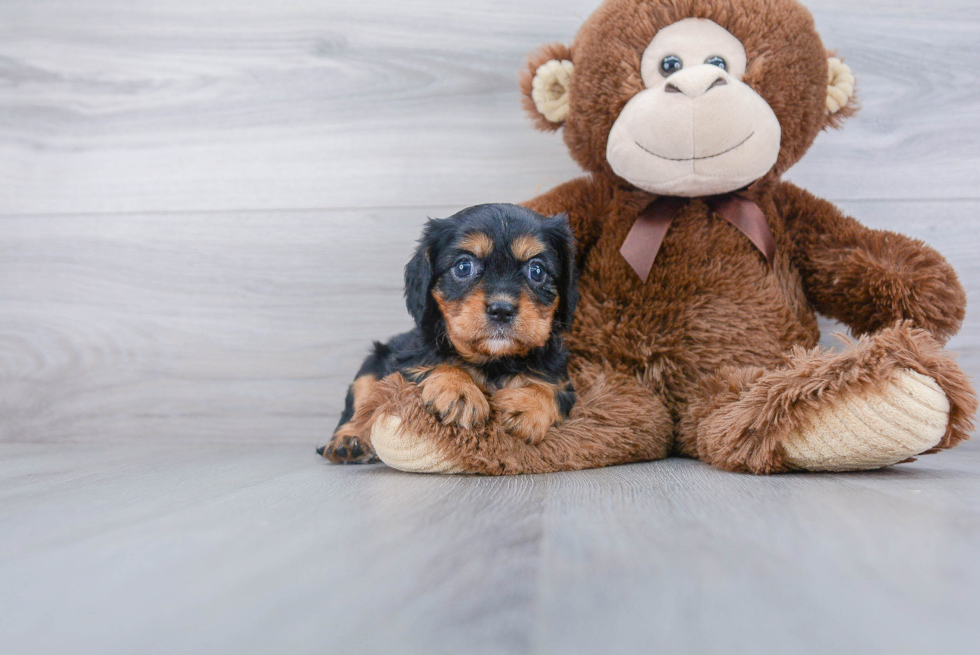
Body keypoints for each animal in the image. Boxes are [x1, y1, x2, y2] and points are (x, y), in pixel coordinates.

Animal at [318, 202, 580, 464]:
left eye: (537, 270)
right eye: (463, 267)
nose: (501, 309)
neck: (493, 361)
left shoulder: (562, 379)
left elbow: (552, 390)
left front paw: (526, 406)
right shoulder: (406, 364)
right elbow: (438, 363)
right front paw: (459, 391)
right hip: (370, 367)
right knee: (357, 408)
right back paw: (349, 442)